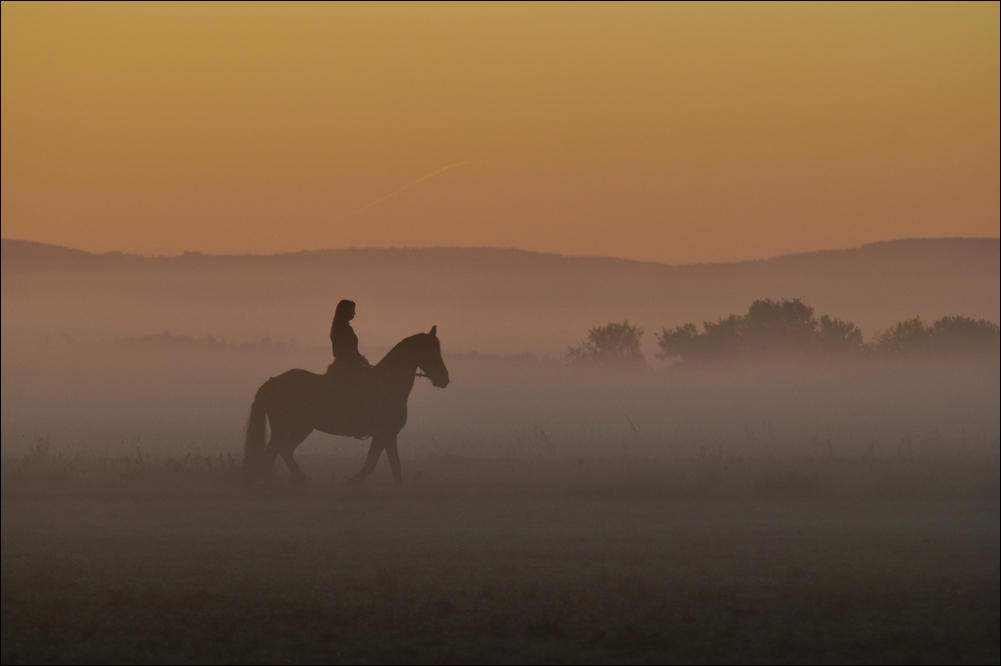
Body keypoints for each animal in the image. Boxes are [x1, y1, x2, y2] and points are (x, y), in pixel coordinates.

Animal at [244, 326, 448, 482]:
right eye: (431, 351)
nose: (445, 379)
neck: (387, 384)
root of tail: (272, 382)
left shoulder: (385, 435)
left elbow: (382, 464)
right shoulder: (385, 433)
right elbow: (380, 465)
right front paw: (350, 484)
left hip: (296, 428)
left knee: (279, 451)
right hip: (294, 427)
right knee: (278, 450)